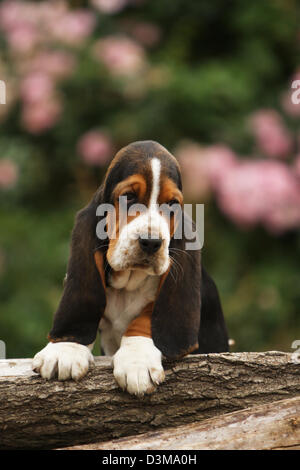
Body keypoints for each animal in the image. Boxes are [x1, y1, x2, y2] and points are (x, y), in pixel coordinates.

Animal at [32, 140, 227, 396]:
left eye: (172, 204)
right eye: (128, 196)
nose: (151, 243)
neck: (129, 284)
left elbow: (147, 316)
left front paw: (137, 362)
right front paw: (65, 348)